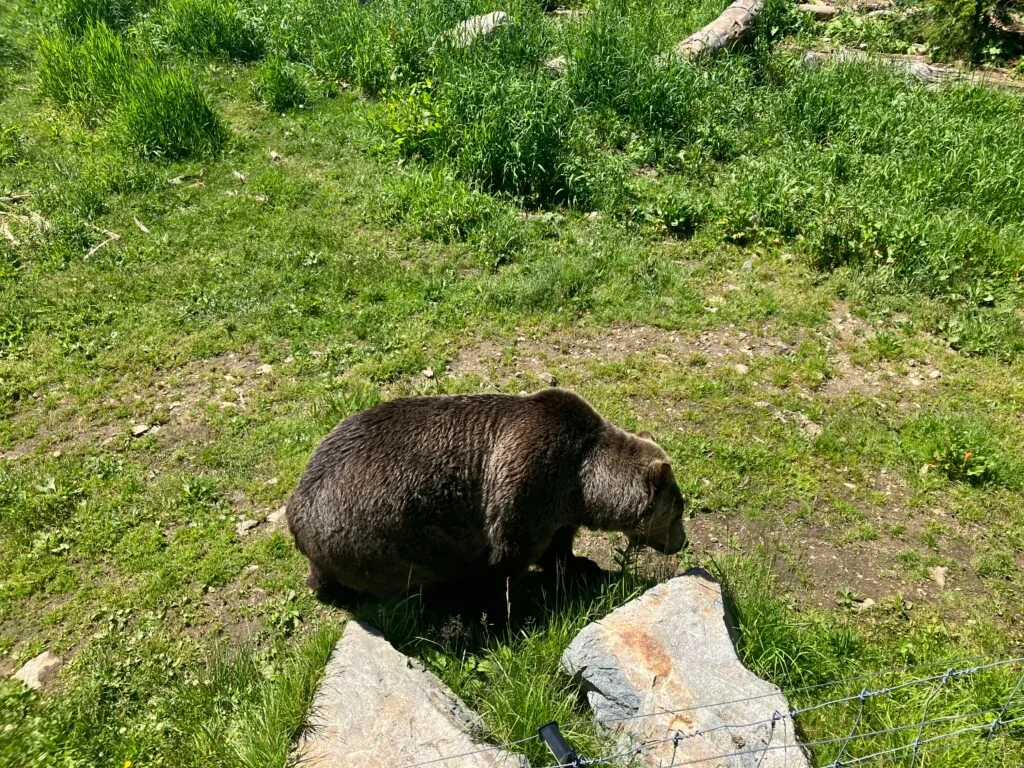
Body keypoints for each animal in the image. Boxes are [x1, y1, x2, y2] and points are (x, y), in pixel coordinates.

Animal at [286, 388, 686, 601]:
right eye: (679, 511)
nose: (681, 541)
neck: (581, 483)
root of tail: (296, 512)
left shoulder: (559, 508)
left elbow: (559, 546)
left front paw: (580, 566)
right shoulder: (527, 480)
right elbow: (507, 556)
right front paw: (506, 608)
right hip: (384, 535)